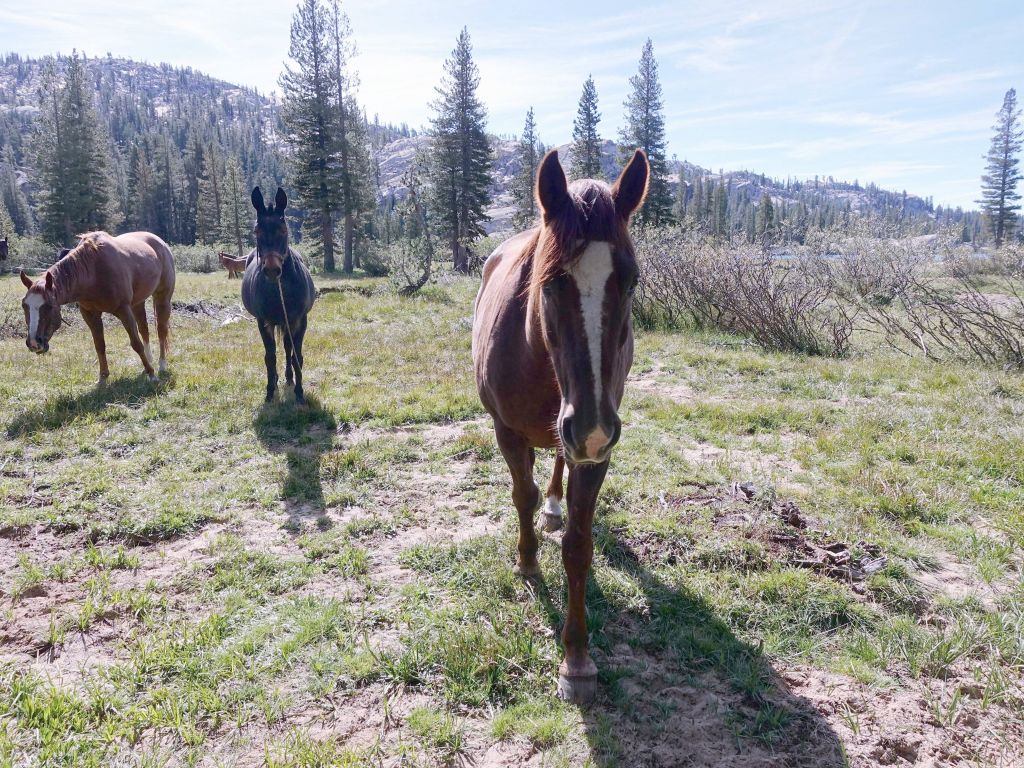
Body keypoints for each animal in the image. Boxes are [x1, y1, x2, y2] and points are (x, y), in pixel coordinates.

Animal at [19, 230, 176, 382]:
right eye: (24, 305)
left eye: (49, 306)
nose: (34, 342)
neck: (94, 272)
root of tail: (161, 243)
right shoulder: (90, 314)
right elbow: (99, 345)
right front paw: (103, 377)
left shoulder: (124, 310)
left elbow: (136, 343)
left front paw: (152, 374)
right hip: (138, 303)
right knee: (144, 330)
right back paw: (149, 362)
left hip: (162, 298)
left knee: (161, 330)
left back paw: (161, 365)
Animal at [473, 148, 647, 704]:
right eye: (550, 283)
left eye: (630, 280)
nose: (591, 425)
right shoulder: (507, 433)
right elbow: (520, 496)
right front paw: (527, 561)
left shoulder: (596, 451)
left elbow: (578, 545)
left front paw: (576, 658)